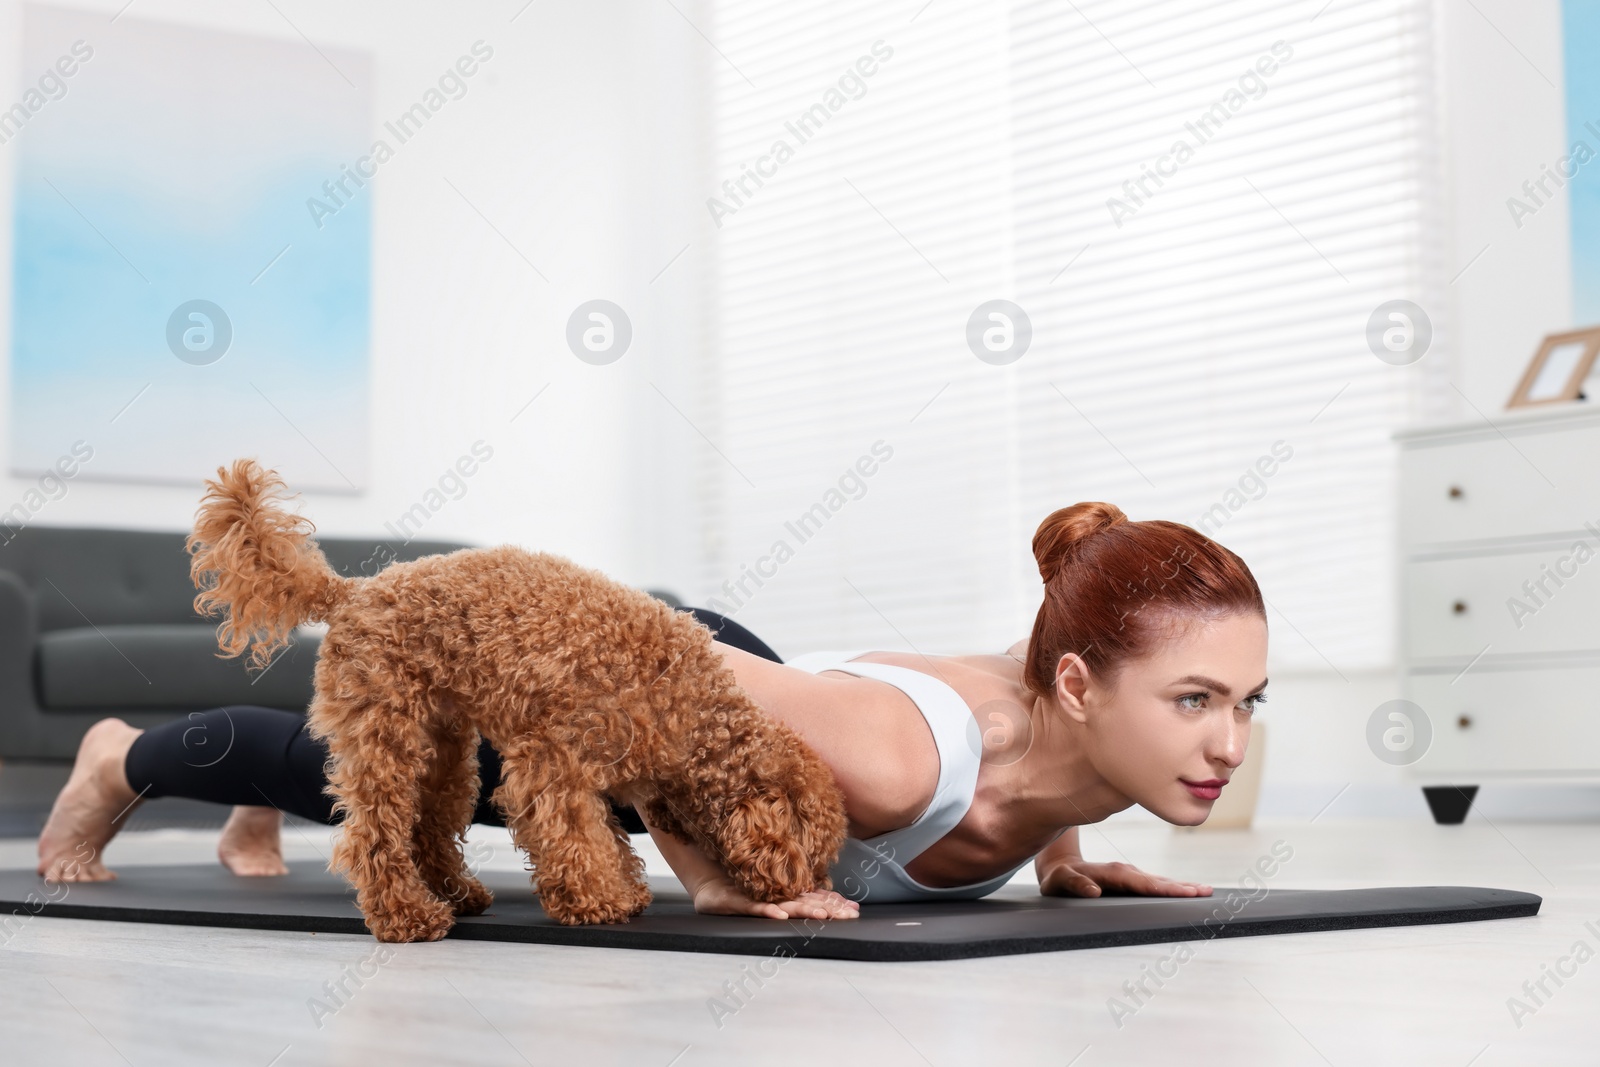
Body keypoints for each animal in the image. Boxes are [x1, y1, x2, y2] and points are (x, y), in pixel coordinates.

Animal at [185, 460, 851, 940]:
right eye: (814, 849)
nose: (810, 883)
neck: (692, 713)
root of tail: (351, 591)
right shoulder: (553, 762)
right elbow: (575, 835)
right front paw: (598, 902)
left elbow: (605, 835)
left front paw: (625, 888)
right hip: (385, 733)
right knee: (374, 831)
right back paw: (408, 917)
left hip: (448, 752)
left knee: (429, 827)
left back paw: (459, 895)